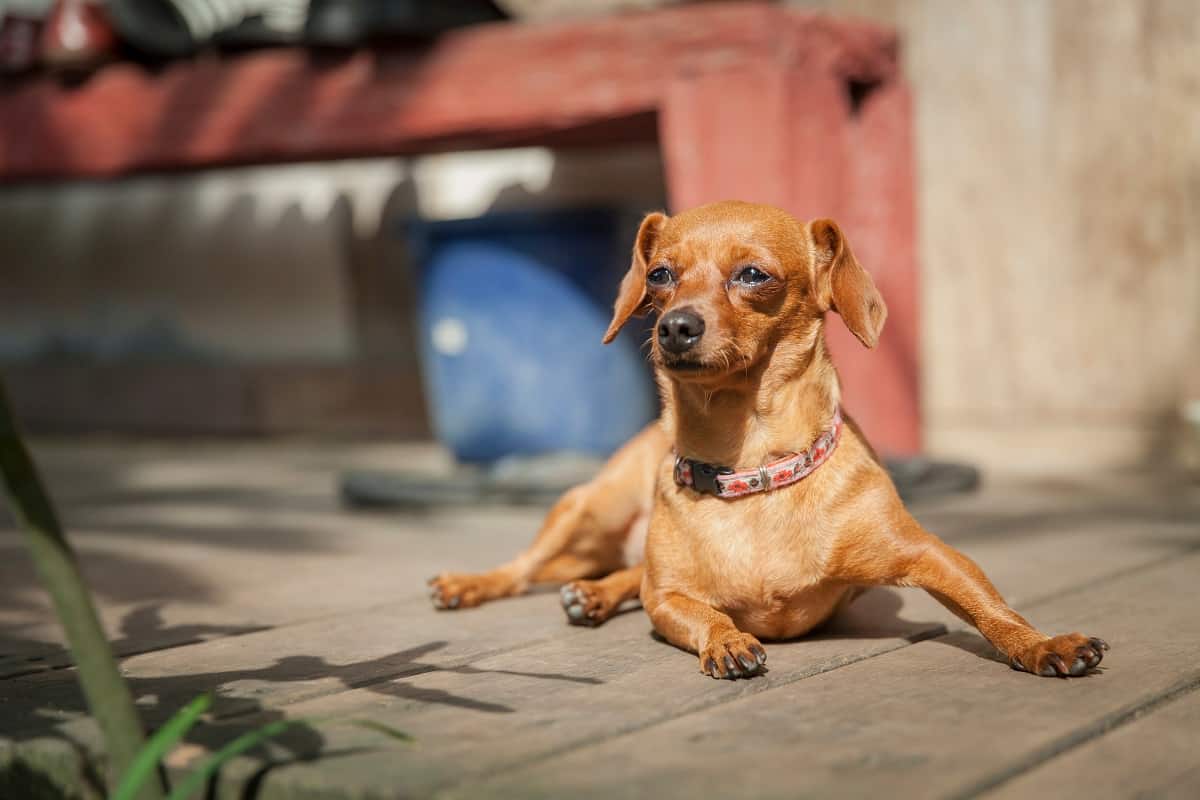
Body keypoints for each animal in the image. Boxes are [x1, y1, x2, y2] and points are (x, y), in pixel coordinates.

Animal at [427, 201, 1108, 681]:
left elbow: (993, 608)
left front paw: (1043, 643)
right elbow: (701, 610)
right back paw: (473, 583)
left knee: (624, 572)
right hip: (586, 507)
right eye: (660, 275)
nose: (675, 325)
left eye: (753, 275)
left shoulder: (933, 557)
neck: (749, 468)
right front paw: (728, 638)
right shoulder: (669, 599)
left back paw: (592, 594)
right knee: (525, 570)